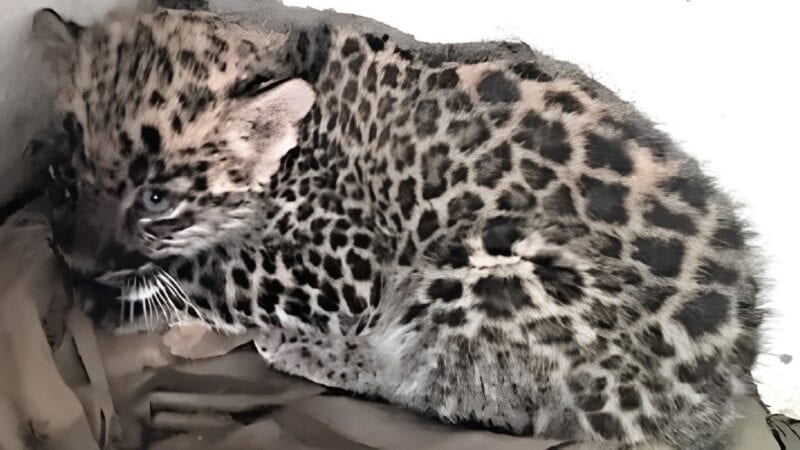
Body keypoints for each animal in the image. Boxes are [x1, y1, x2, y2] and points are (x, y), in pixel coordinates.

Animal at [32, 6, 764, 448]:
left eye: (156, 199)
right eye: (64, 178)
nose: (75, 263)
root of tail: (717, 396)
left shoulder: (339, 267)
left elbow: (216, 270)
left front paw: (128, 297)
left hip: (490, 280)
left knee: (465, 398)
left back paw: (302, 350)